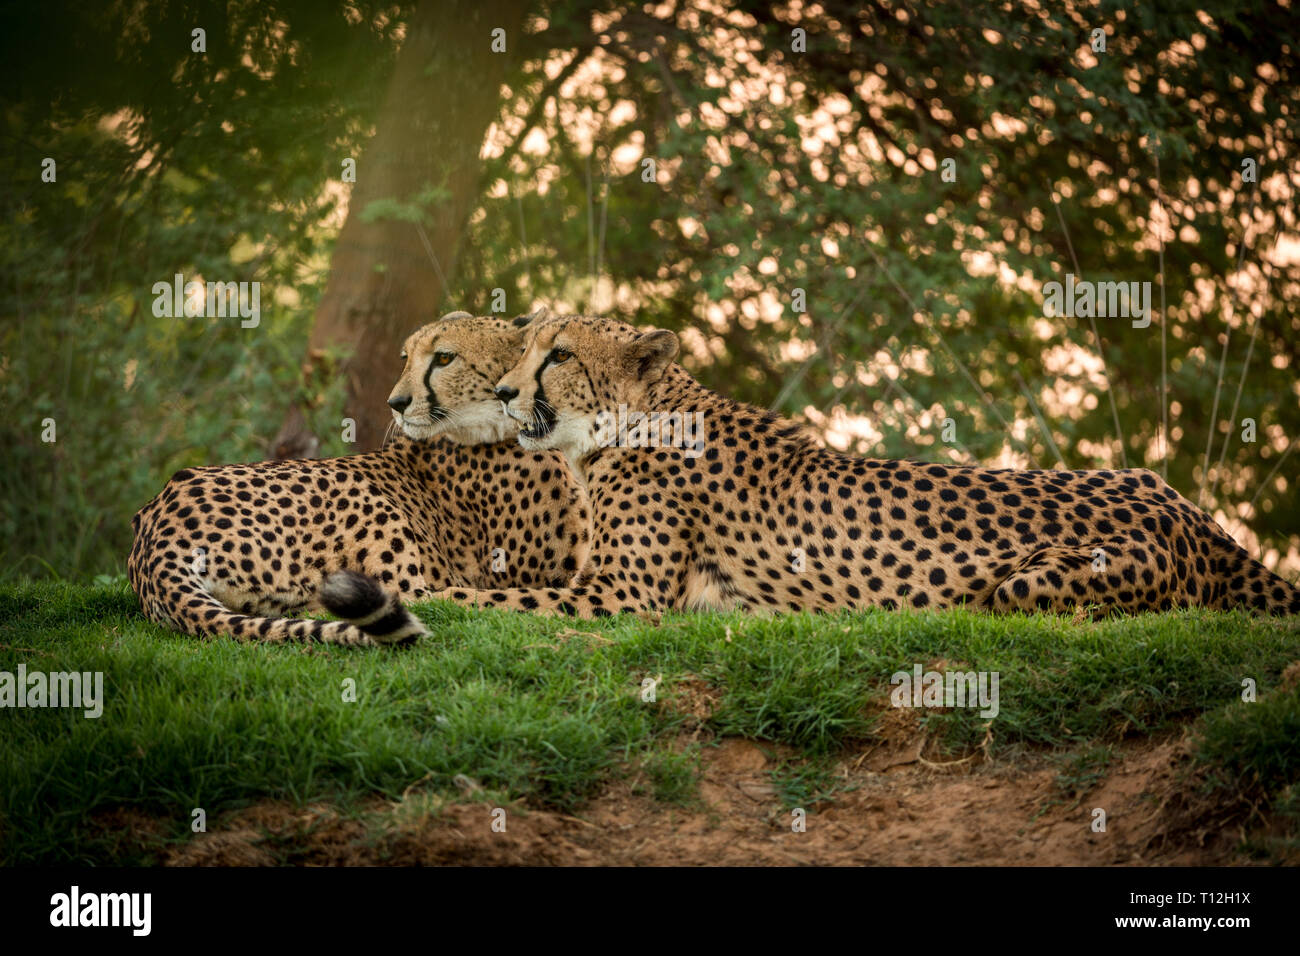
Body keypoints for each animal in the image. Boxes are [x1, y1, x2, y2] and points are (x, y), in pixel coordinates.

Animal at [128, 310, 590, 647]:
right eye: (406, 358)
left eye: (444, 358)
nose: (396, 402)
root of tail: (155, 531)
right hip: (366, 502)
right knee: (421, 598)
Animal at [413, 310, 1300, 616]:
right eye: (524, 347)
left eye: (559, 354)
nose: (505, 391)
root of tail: (1193, 514)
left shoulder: (621, 598)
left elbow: (489, 601)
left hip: (1036, 582)